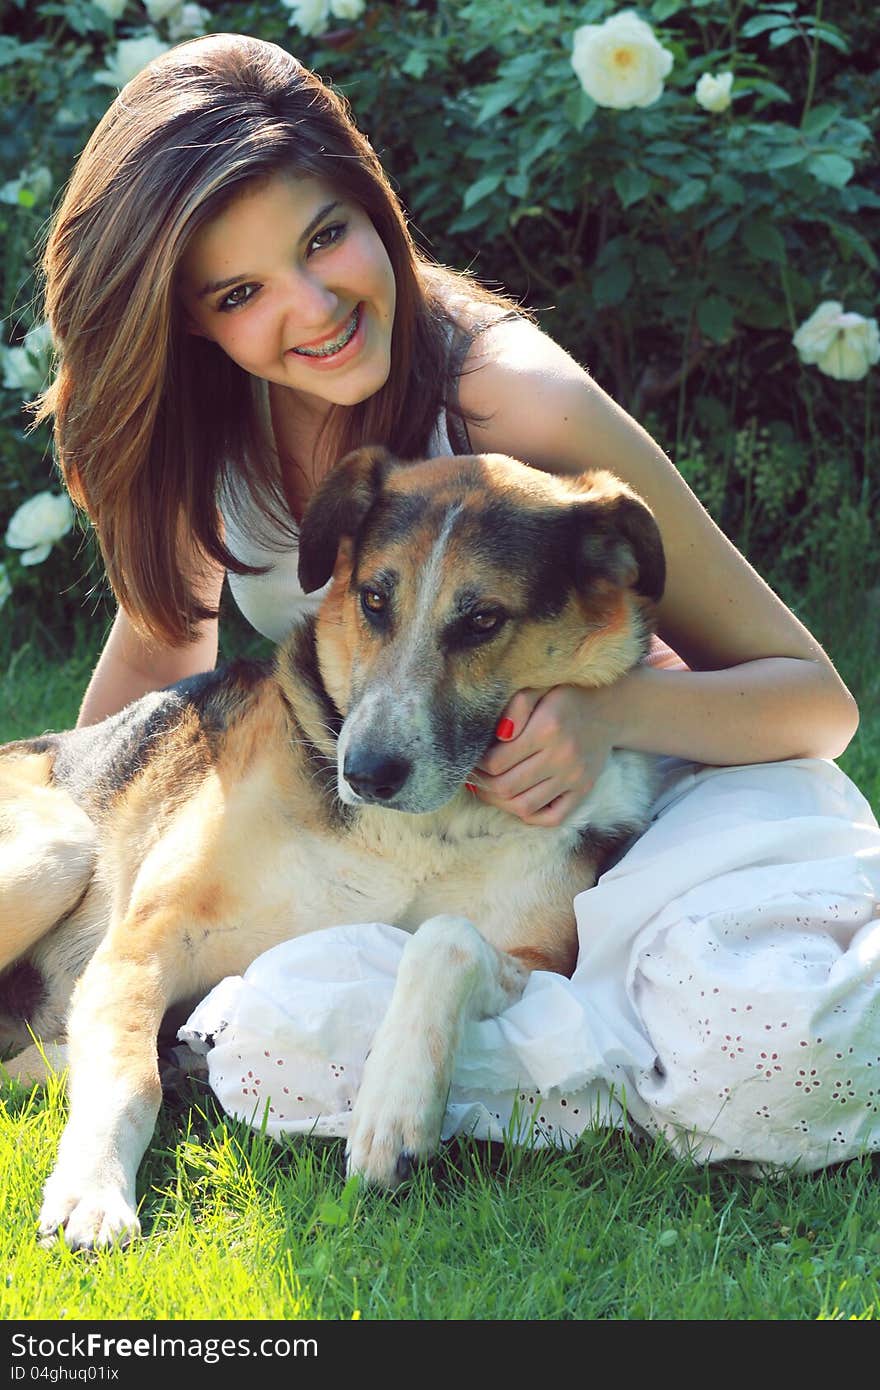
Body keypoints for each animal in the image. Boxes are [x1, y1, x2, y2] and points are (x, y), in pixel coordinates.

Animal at [0, 447, 661, 1251]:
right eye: (375, 599)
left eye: (483, 619)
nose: (366, 773)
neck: (419, 831)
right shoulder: (148, 937)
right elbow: (130, 1077)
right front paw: (93, 1189)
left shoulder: (540, 963)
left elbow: (446, 938)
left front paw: (396, 1111)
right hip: (57, 846)